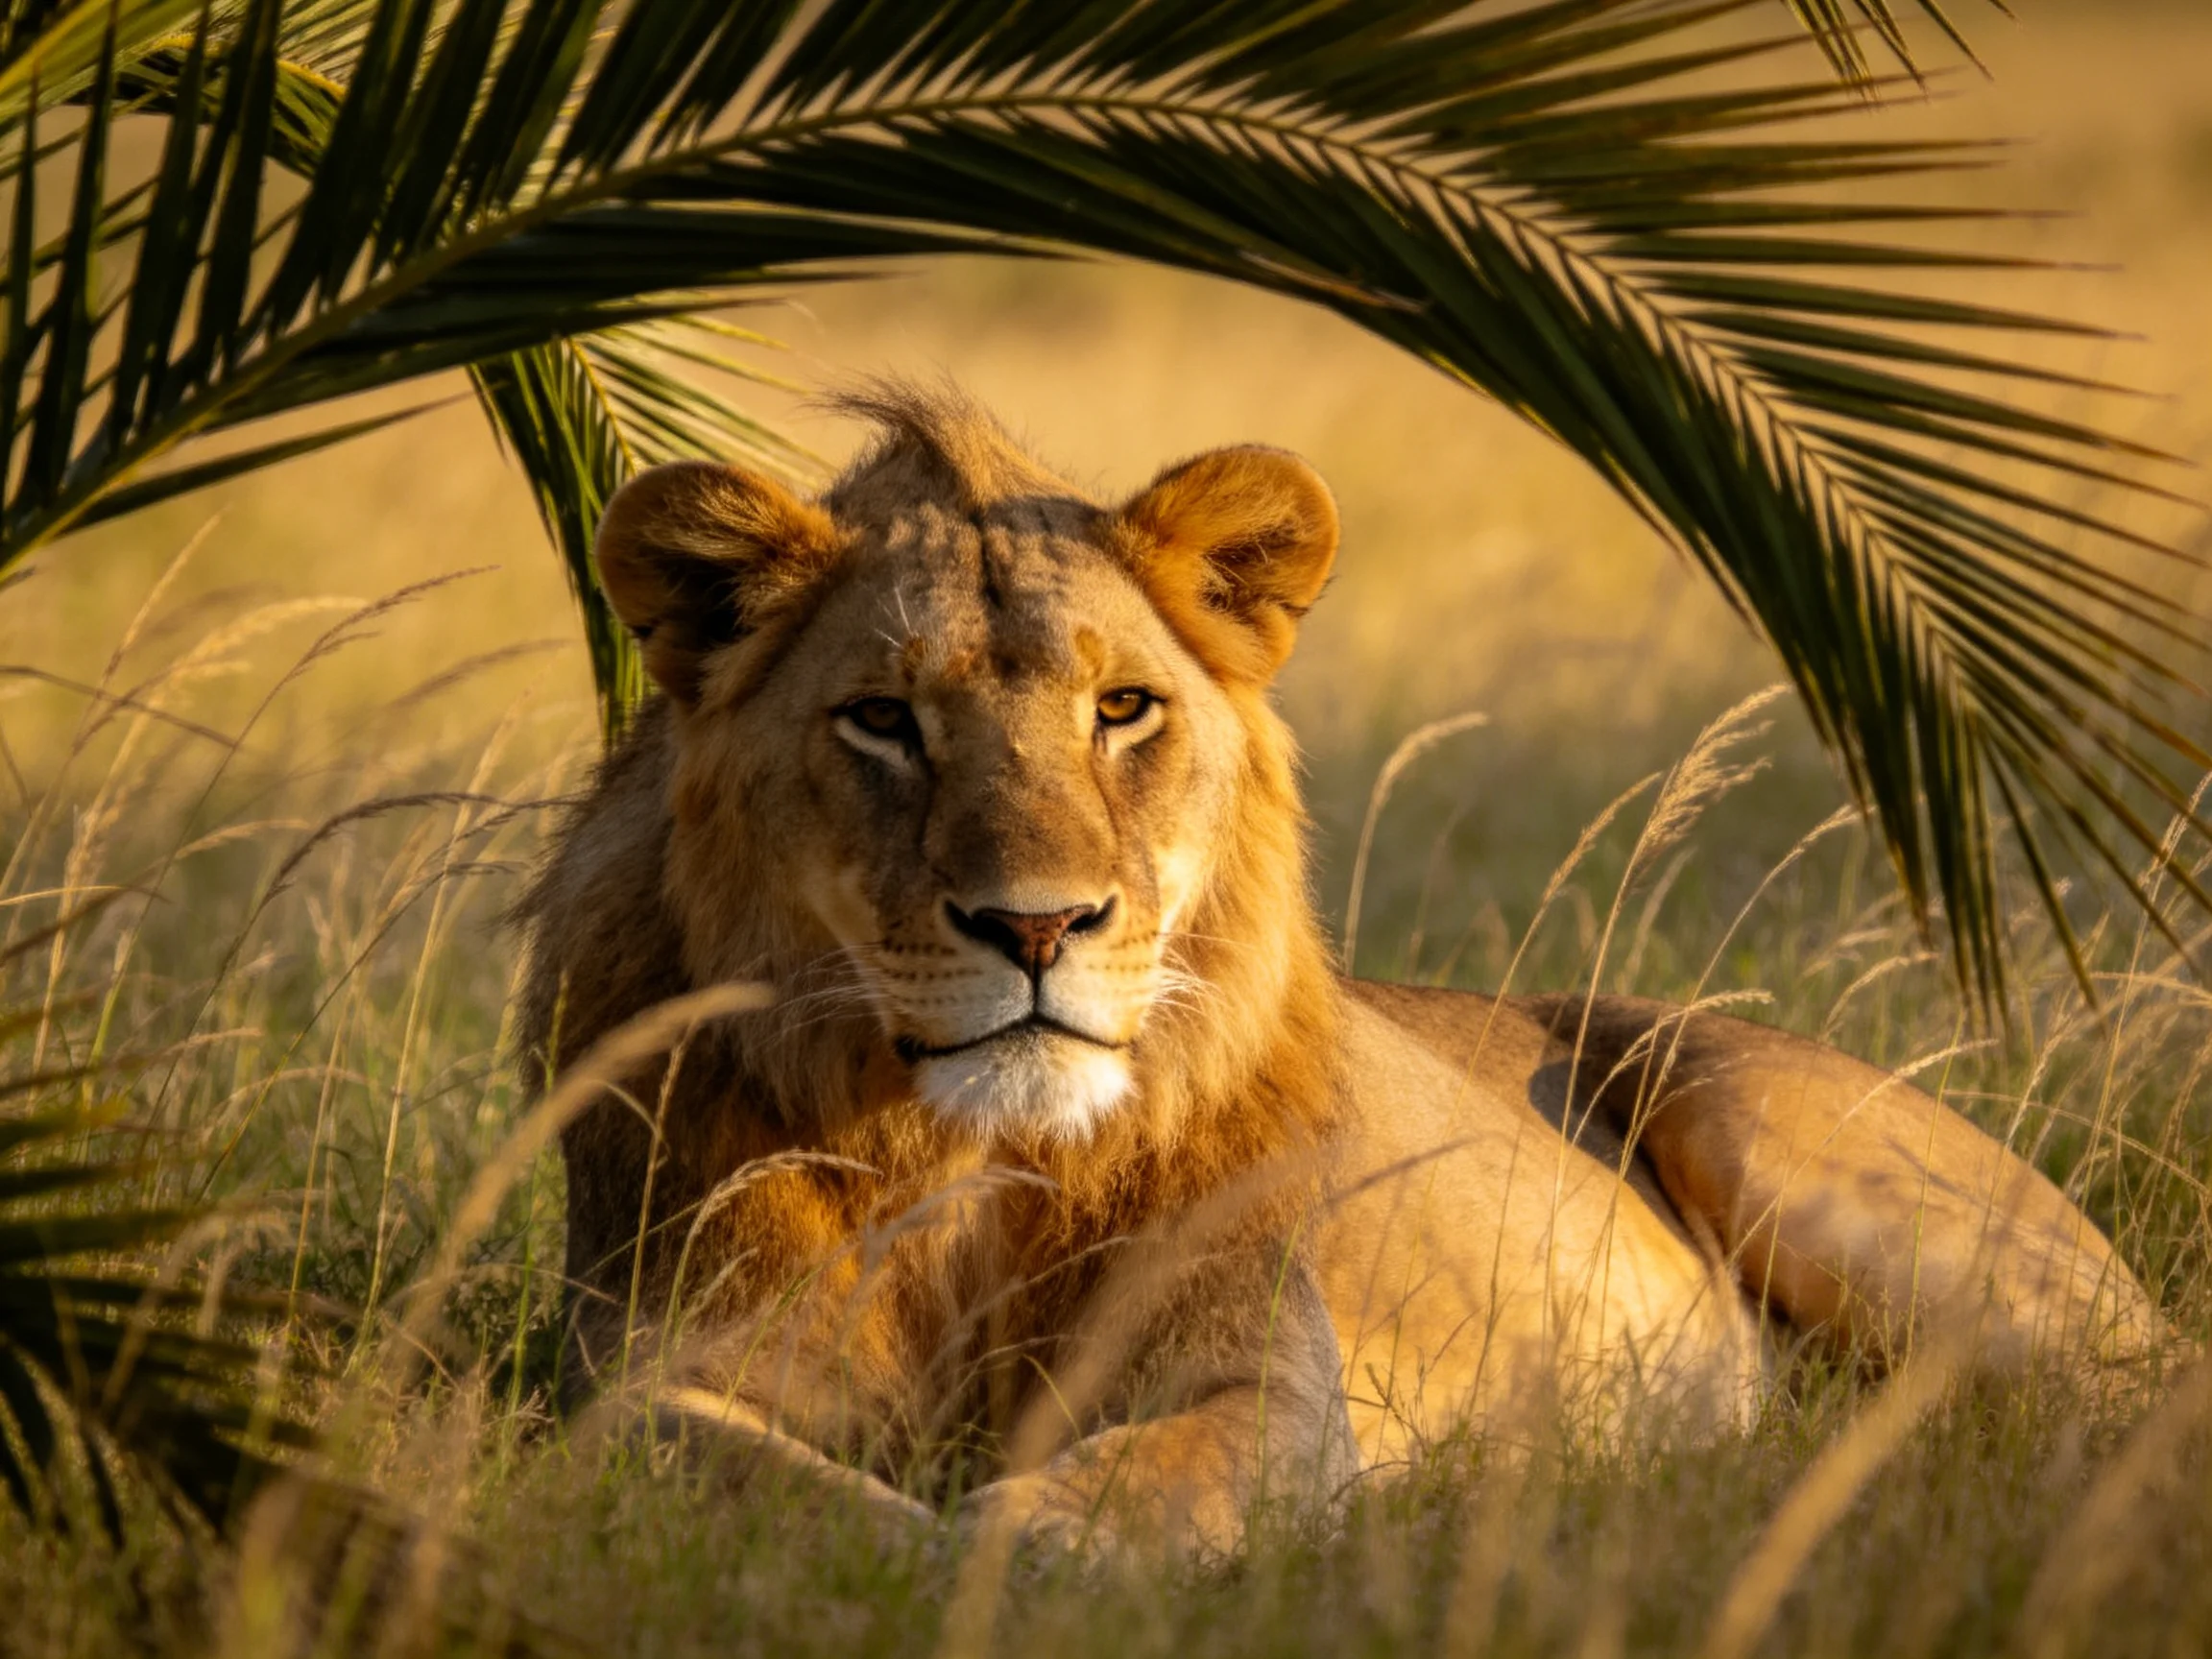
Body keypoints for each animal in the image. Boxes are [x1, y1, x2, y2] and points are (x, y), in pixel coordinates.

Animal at [517, 384, 2155, 1557]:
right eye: (881, 720)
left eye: (1123, 708)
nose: (1038, 928)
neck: (974, 1167)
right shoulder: (631, 1380)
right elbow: (741, 1476)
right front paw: (919, 1545)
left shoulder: (1272, 1384)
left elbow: (1152, 1477)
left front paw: (1016, 1543)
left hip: (1781, 1134)